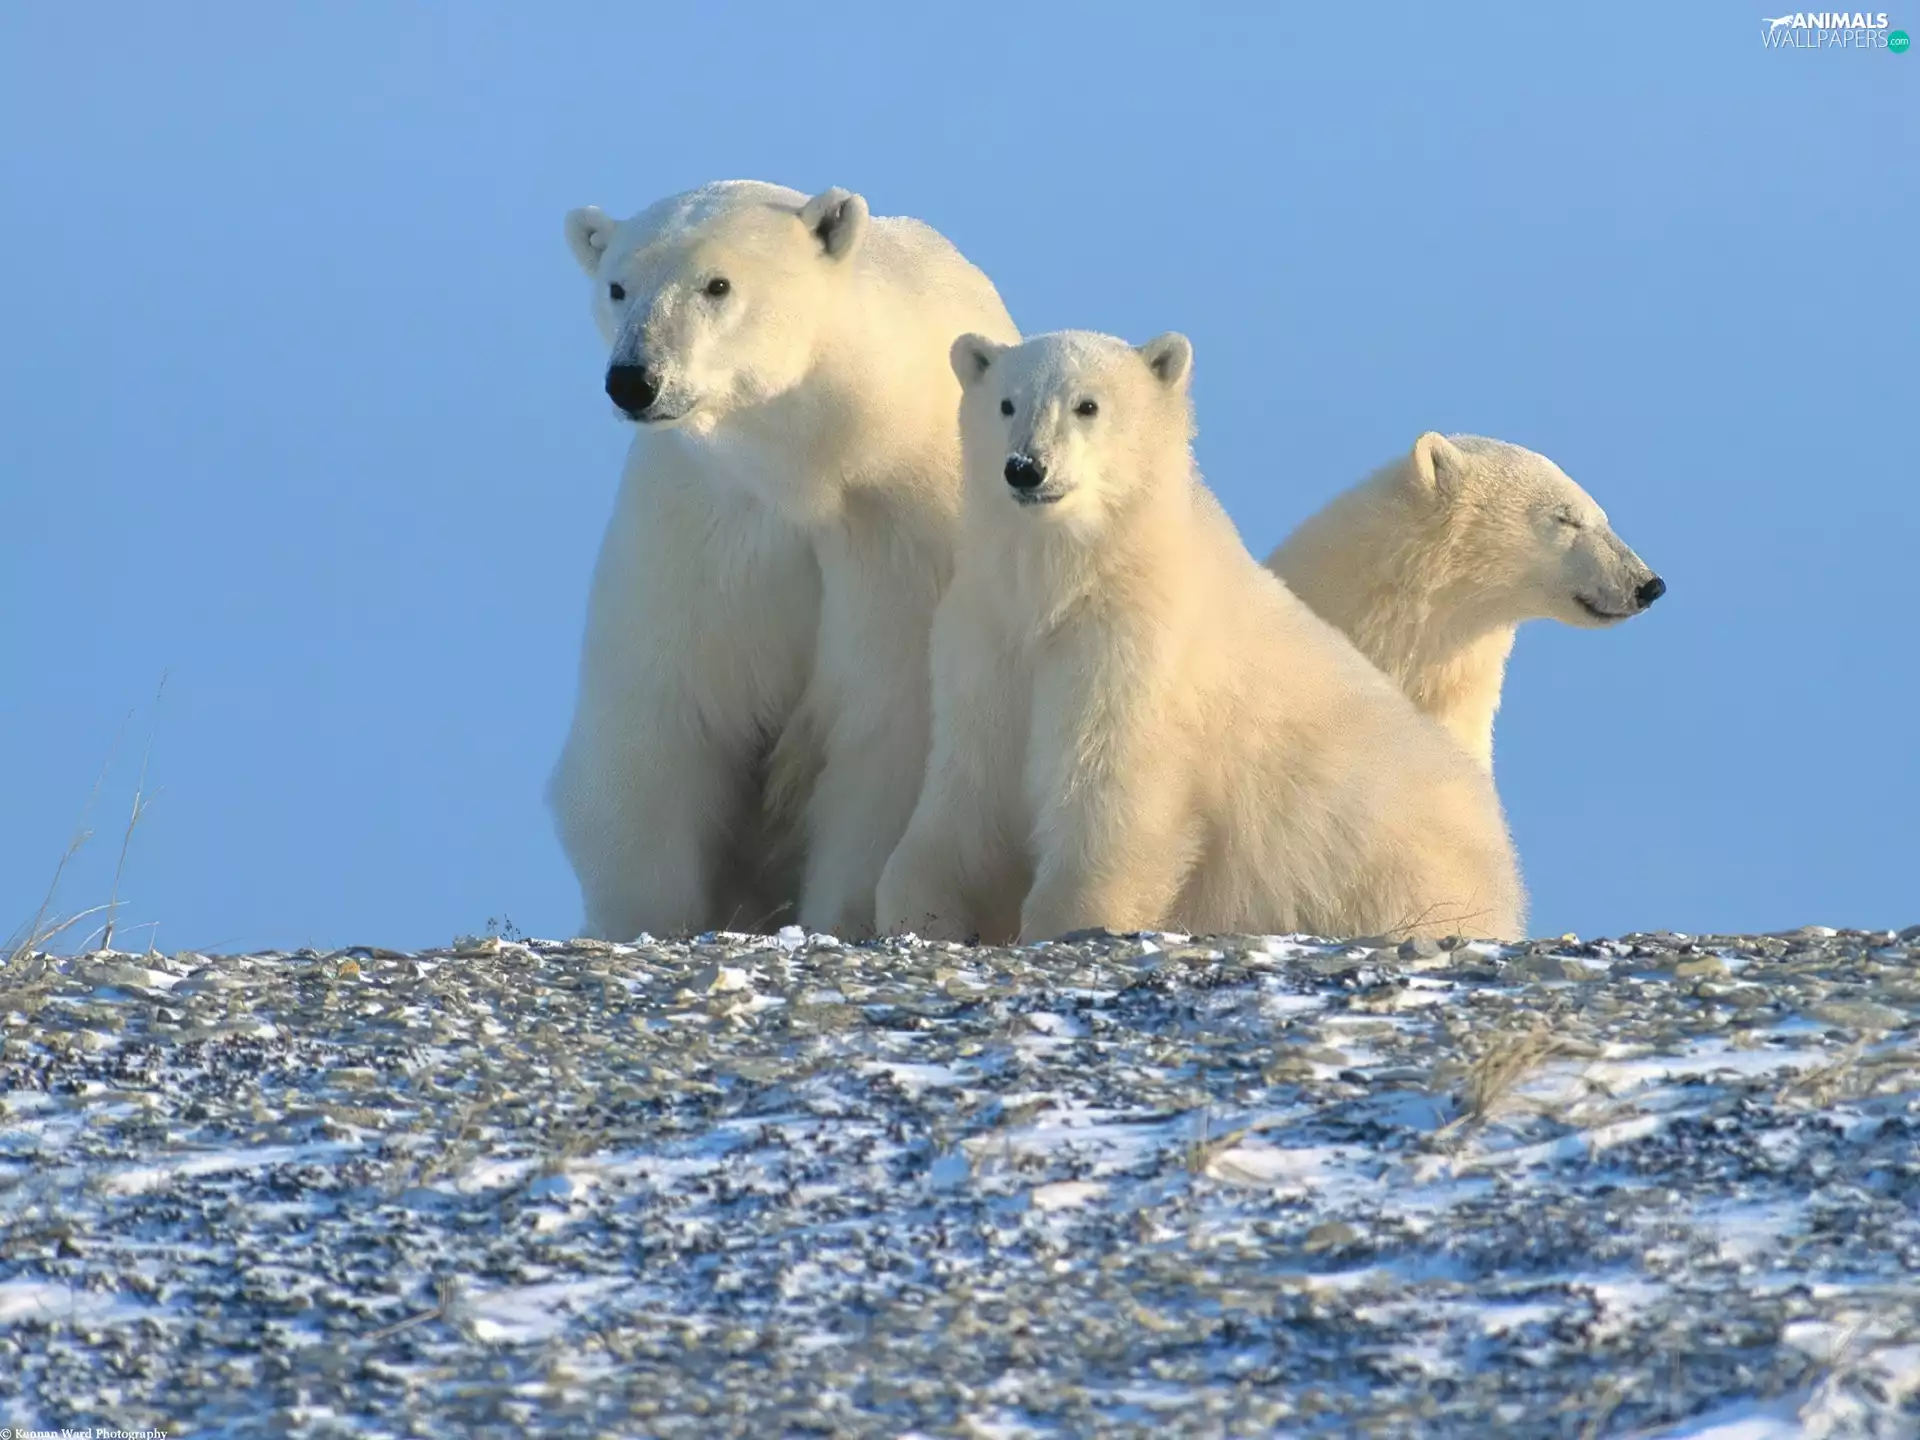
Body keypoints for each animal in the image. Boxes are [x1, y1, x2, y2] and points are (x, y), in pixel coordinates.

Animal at [548, 181, 1019, 941]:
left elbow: (882, 732)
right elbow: (662, 723)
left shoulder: (897, 539)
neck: (812, 465)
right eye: (617, 287)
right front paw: (645, 918)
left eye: (717, 284)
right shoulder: (700, 531)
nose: (634, 380)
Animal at [875, 331, 1527, 946]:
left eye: (1087, 405)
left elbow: (1110, 793)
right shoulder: (988, 642)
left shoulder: (1133, 650)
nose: (1026, 467)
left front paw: (1067, 916)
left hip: (1394, 870)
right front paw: (921, 909)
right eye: (1007, 403)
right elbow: (969, 789)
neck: (1070, 585)